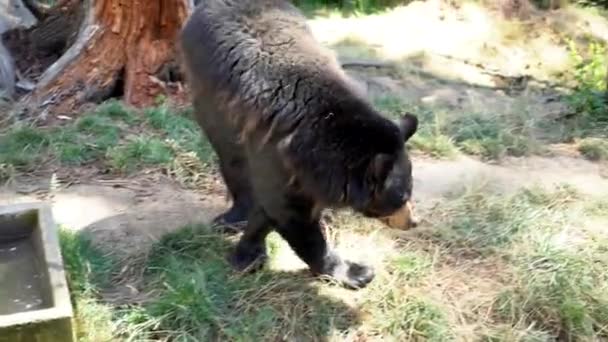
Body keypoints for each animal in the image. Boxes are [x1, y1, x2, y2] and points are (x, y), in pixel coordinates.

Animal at [179, 0, 418, 288]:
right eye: (402, 195)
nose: (413, 221)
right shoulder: (275, 154)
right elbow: (292, 218)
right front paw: (356, 272)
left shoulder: (304, 174)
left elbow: (272, 210)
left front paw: (249, 251)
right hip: (211, 106)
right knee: (232, 162)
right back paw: (234, 214)